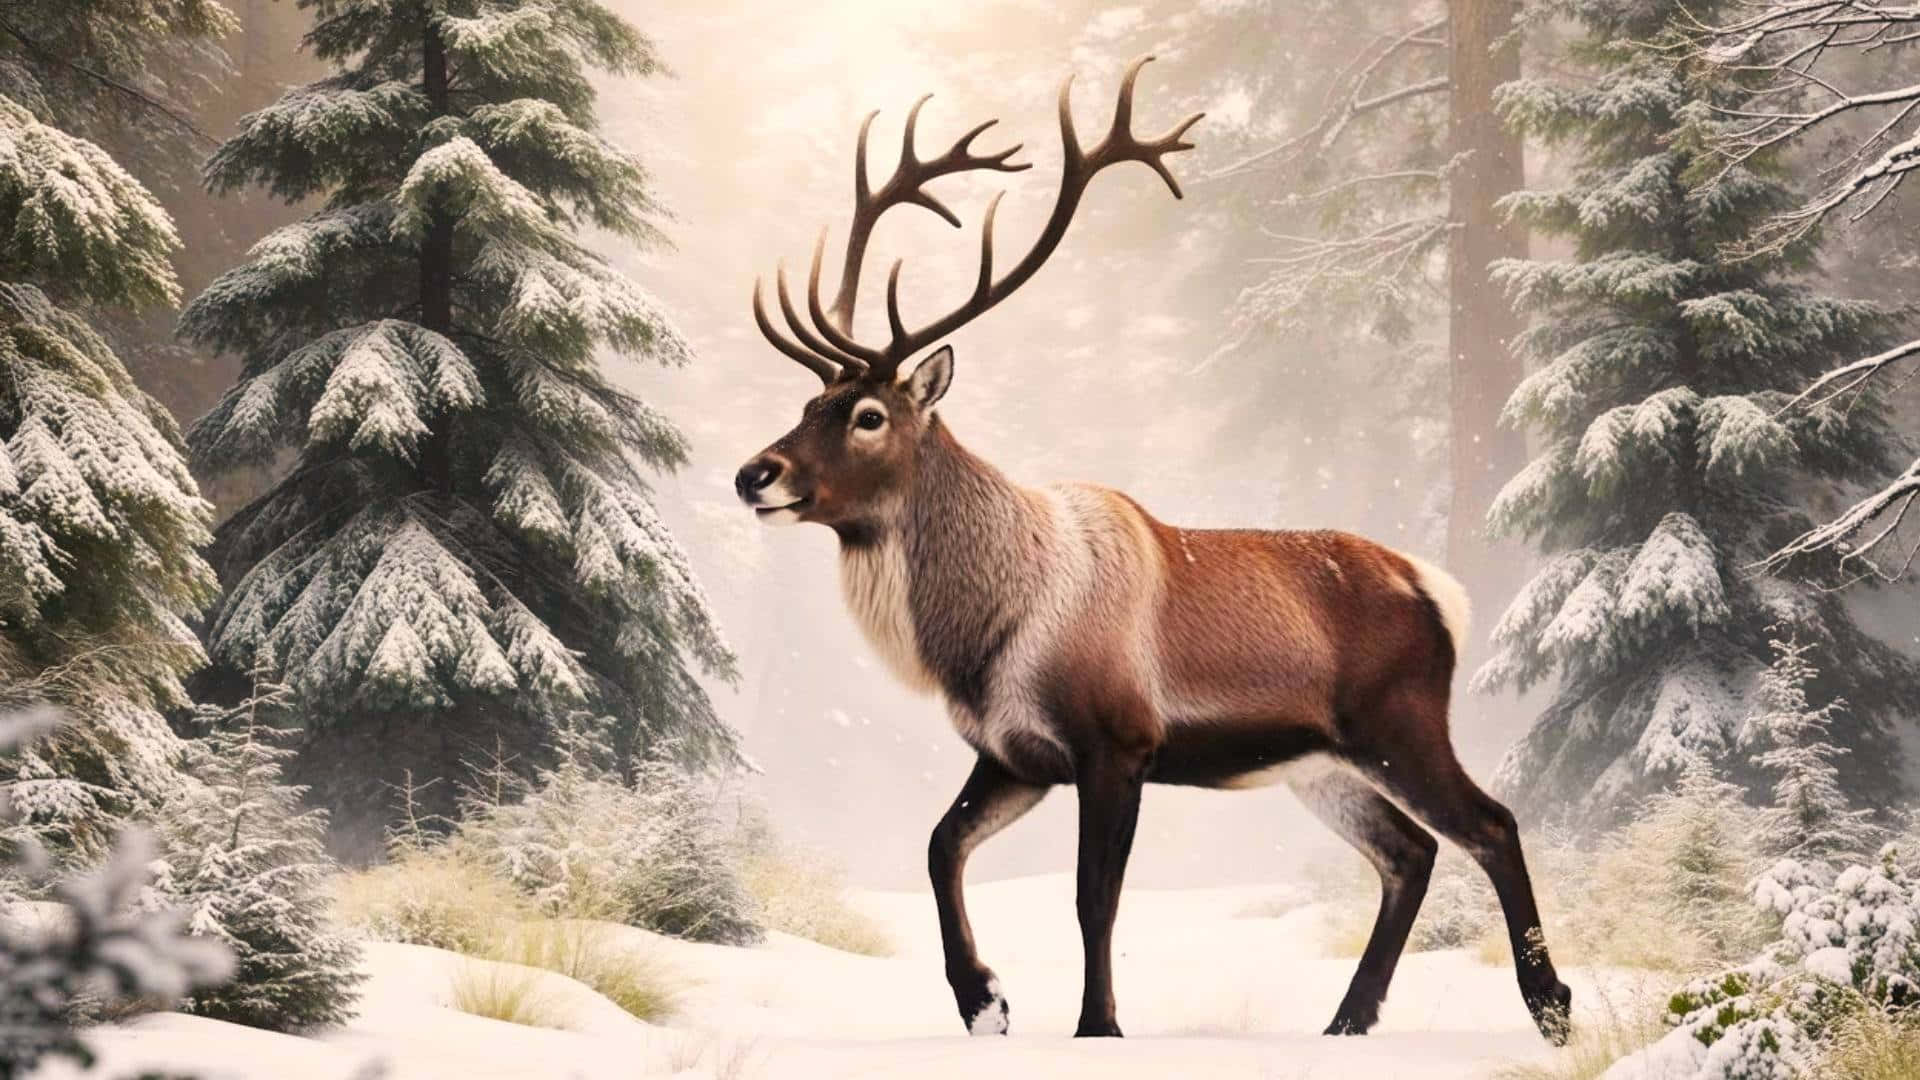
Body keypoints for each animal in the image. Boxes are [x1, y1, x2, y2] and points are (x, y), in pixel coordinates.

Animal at [732, 56, 1572, 1045]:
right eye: (807, 404)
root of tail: (1440, 589)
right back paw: (1346, 1021)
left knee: (1491, 823)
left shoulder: (1118, 740)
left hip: (1399, 720)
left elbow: (1094, 898)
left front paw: (1096, 1027)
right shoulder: (1015, 753)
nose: (754, 473)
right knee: (1409, 851)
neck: (985, 633)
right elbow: (940, 846)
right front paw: (986, 1002)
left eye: (867, 415)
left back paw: (1550, 1007)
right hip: (1321, 762)